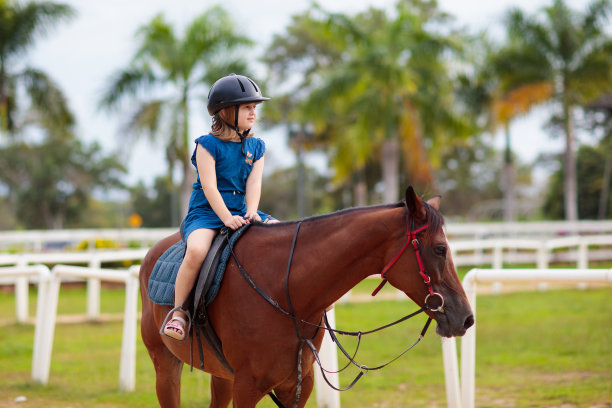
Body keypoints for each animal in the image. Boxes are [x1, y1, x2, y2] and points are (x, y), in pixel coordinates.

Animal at [141, 186, 476, 406]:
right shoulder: (247, 387)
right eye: (440, 249)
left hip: (221, 375)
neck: (284, 289)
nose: (467, 318)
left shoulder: (297, 387)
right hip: (166, 367)